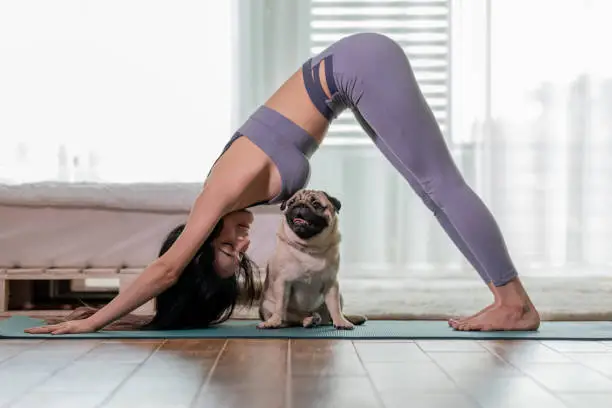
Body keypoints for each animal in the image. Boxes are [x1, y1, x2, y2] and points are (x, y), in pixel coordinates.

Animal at [256, 190, 366, 330]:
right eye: (291, 203)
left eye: (316, 204)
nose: (300, 205)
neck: (309, 248)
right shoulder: (282, 282)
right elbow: (280, 306)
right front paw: (273, 321)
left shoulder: (331, 283)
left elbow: (335, 307)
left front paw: (341, 322)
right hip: (267, 305)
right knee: (293, 319)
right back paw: (308, 320)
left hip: (339, 295)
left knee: (331, 314)